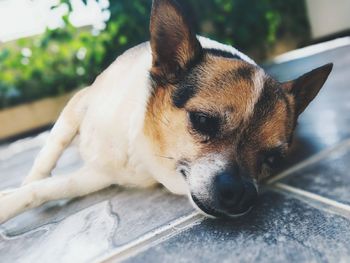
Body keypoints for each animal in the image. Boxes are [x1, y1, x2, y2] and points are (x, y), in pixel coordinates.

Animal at [0, 0, 334, 224]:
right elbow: (46, 158)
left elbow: (48, 189)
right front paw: (23, 184)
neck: (138, 144)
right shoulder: (78, 105)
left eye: (272, 160)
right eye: (202, 121)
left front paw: (11, 199)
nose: (243, 194)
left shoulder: (98, 175)